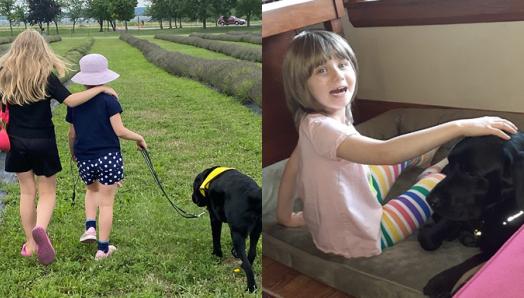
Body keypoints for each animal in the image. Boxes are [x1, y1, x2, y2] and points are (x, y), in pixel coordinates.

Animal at [420, 133, 524, 298]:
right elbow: (428, 238)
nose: (430, 200)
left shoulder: (499, 245)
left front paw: (441, 281)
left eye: (471, 173)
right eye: (451, 162)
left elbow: (477, 259)